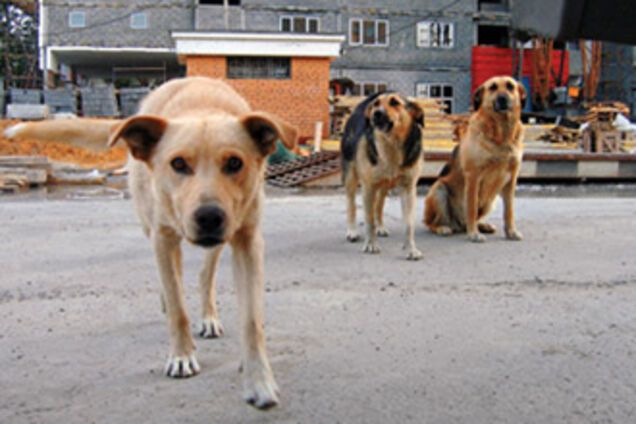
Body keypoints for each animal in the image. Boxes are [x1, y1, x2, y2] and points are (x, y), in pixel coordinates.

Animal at [4, 78, 298, 410]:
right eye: (178, 163)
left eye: (235, 162)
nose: (209, 216)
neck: (202, 108)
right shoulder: (162, 236)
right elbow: (177, 306)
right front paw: (181, 355)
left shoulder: (247, 239)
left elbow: (251, 321)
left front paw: (259, 382)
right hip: (153, 227)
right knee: (172, 278)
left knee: (203, 274)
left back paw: (208, 315)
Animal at [340, 91, 424, 260]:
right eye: (376, 104)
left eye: (395, 102)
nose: (376, 114)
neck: (391, 146)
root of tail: (360, 106)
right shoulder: (368, 187)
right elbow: (368, 220)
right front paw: (371, 245)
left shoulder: (409, 188)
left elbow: (409, 224)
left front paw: (411, 249)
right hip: (351, 175)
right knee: (351, 204)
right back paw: (352, 231)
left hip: (384, 185)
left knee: (379, 205)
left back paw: (380, 227)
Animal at [422, 76, 528, 242]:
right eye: (493, 87)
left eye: (510, 86)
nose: (502, 98)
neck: (501, 136)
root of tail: (458, 225)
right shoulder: (473, 177)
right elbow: (471, 208)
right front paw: (473, 234)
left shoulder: (511, 180)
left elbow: (509, 211)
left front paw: (511, 232)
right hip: (439, 189)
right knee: (431, 222)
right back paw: (443, 228)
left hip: (490, 201)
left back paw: (482, 225)